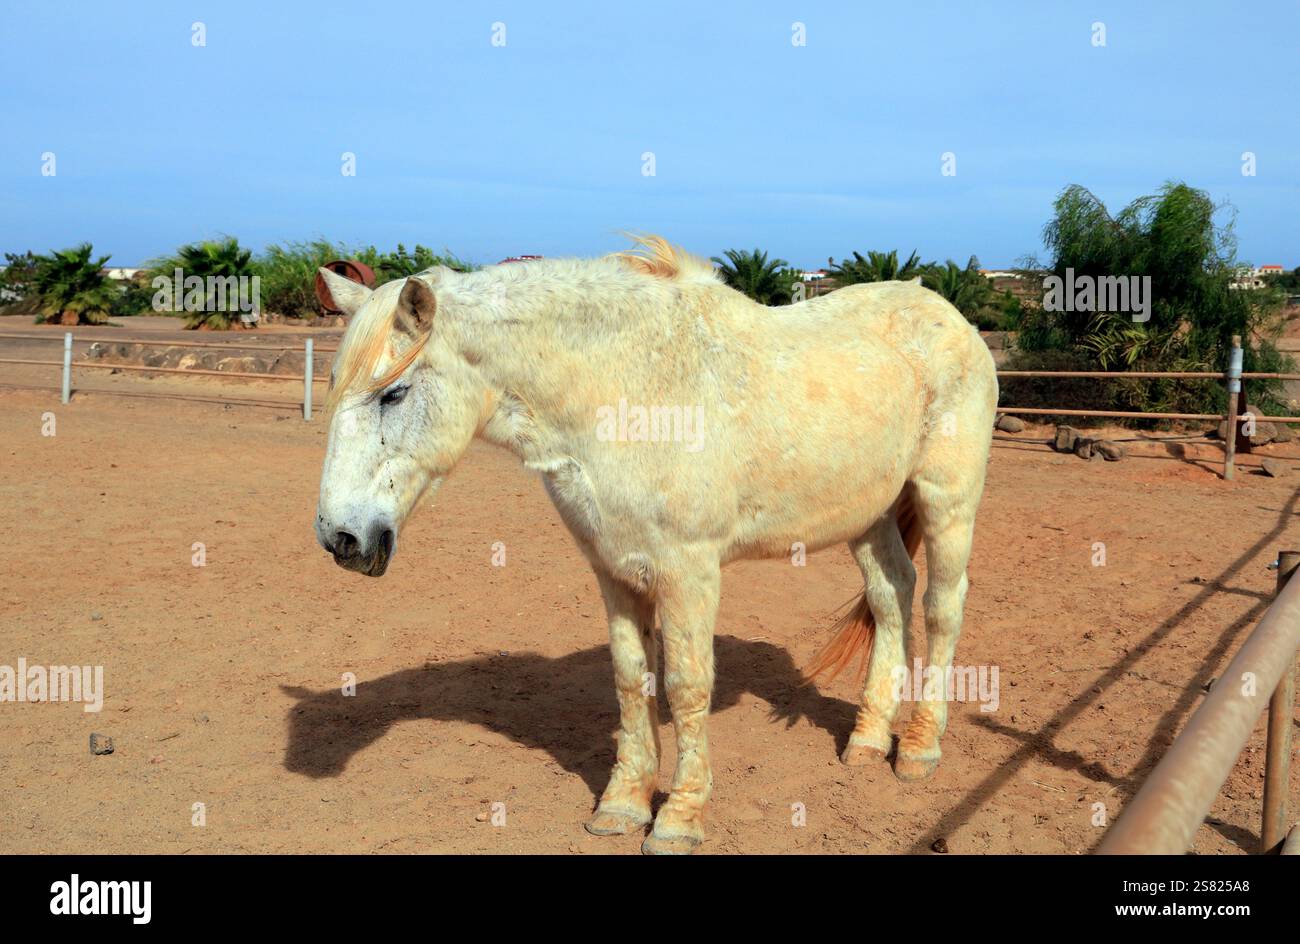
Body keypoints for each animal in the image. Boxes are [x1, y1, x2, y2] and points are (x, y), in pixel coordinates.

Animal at [313, 237, 997, 854]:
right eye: (336, 385)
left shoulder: (688, 571)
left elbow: (687, 686)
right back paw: (867, 741)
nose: (339, 537)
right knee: (892, 596)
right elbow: (629, 679)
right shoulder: (614, 569)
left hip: (947, 500)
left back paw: (918, 749)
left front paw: (679, 819)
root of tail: (947, 314)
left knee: (941, 608)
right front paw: (622, 806)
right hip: (869, 516)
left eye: (394, 392)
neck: (628, 390)